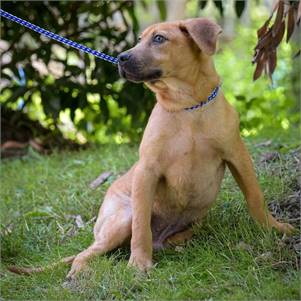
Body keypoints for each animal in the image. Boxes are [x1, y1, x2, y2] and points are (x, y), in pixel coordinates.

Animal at [8, 17, 292, 278]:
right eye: (138, 39)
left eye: (159, 39)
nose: (120, 58)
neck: (187, 106)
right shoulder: (148, 170)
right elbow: (141, 226)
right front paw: (139, 264)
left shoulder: (237, 155)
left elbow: (255, 197)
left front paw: (274, 228)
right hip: (120, 219)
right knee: (87, 252)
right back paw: (81, 272)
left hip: (195, 222)